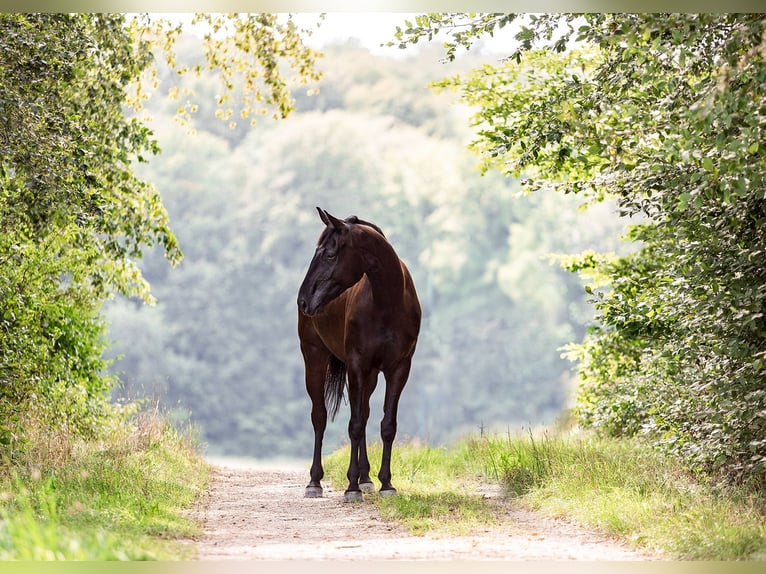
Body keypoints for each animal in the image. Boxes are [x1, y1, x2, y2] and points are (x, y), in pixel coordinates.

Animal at [298, 208, 424, 504]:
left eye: (330, 255)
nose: (303, 300)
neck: (388, 303)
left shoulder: (398, 368)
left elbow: (386, 424)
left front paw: (386, 484)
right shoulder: (357, 365)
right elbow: (354, 425)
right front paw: (351, 487)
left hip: (371, 376)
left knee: (364, 413)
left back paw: (366, 479)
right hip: (315, 358)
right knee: (319, 416)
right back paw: (315, 482)